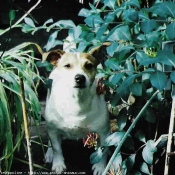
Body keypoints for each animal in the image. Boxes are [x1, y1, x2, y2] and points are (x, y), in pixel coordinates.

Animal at [43, 45, 110, 175]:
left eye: (88, 65)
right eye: (67, 66)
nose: (79, 78)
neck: (77, 101)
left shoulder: (104, 132)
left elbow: (103, 150)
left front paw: (100, 167)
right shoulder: (54, 130)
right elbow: (57, 149)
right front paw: (58, 164)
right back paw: (49, 153)